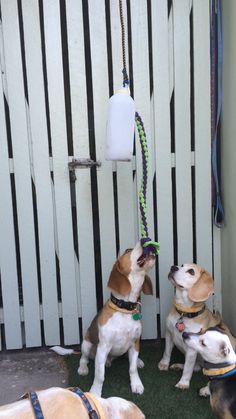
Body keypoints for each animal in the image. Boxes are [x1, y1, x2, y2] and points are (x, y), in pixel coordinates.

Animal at [77, 241, 155, 398]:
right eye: (128, 250)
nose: (145, 240)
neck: (125, 308)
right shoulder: (103, 347)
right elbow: (100, 375)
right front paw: (95, 392)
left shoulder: (135, 342)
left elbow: (132, 369)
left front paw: (136, 384)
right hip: (86, 343)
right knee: (84, 358)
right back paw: (83, 368)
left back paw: (138, 361)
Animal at [159, 264, 236, 392]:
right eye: (181, 265)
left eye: (191, 271)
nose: (173, 267)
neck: (184, 313)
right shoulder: (169, 334)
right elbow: (167, 352)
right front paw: (164, 364)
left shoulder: (192, 348)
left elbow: (188, 368)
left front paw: (183, 383)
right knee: (197, 367)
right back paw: (179, 366)